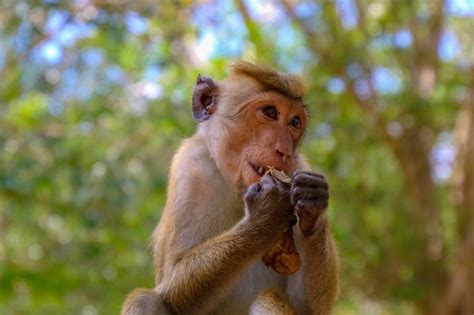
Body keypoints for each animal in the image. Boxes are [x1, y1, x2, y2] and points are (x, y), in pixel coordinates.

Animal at [120, 61, 338, 315]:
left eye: (295, 122)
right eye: (270, 112)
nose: (285, 151)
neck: (237, 187)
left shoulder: (299, 167)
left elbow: (306, 307)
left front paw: (313, 202)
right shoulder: (188, 170)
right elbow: (174, 290)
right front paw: (266, 215)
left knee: (270, 298)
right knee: (143, 298)